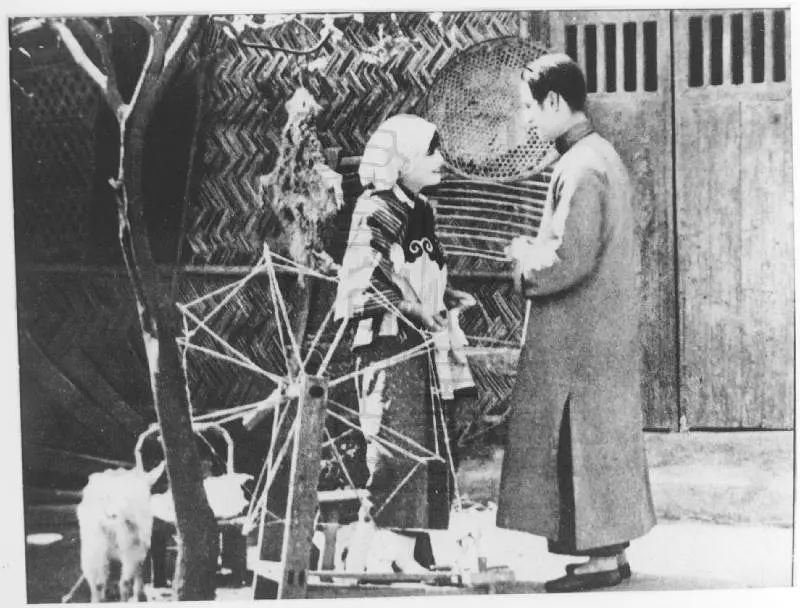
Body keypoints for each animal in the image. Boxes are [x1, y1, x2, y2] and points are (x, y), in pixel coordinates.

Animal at [76, 461, 165, 602]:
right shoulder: (139, 546)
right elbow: (139, 570)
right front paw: (139, 594)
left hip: (92, 547)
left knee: (97, 584)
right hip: (128, 547)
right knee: (124, 583)